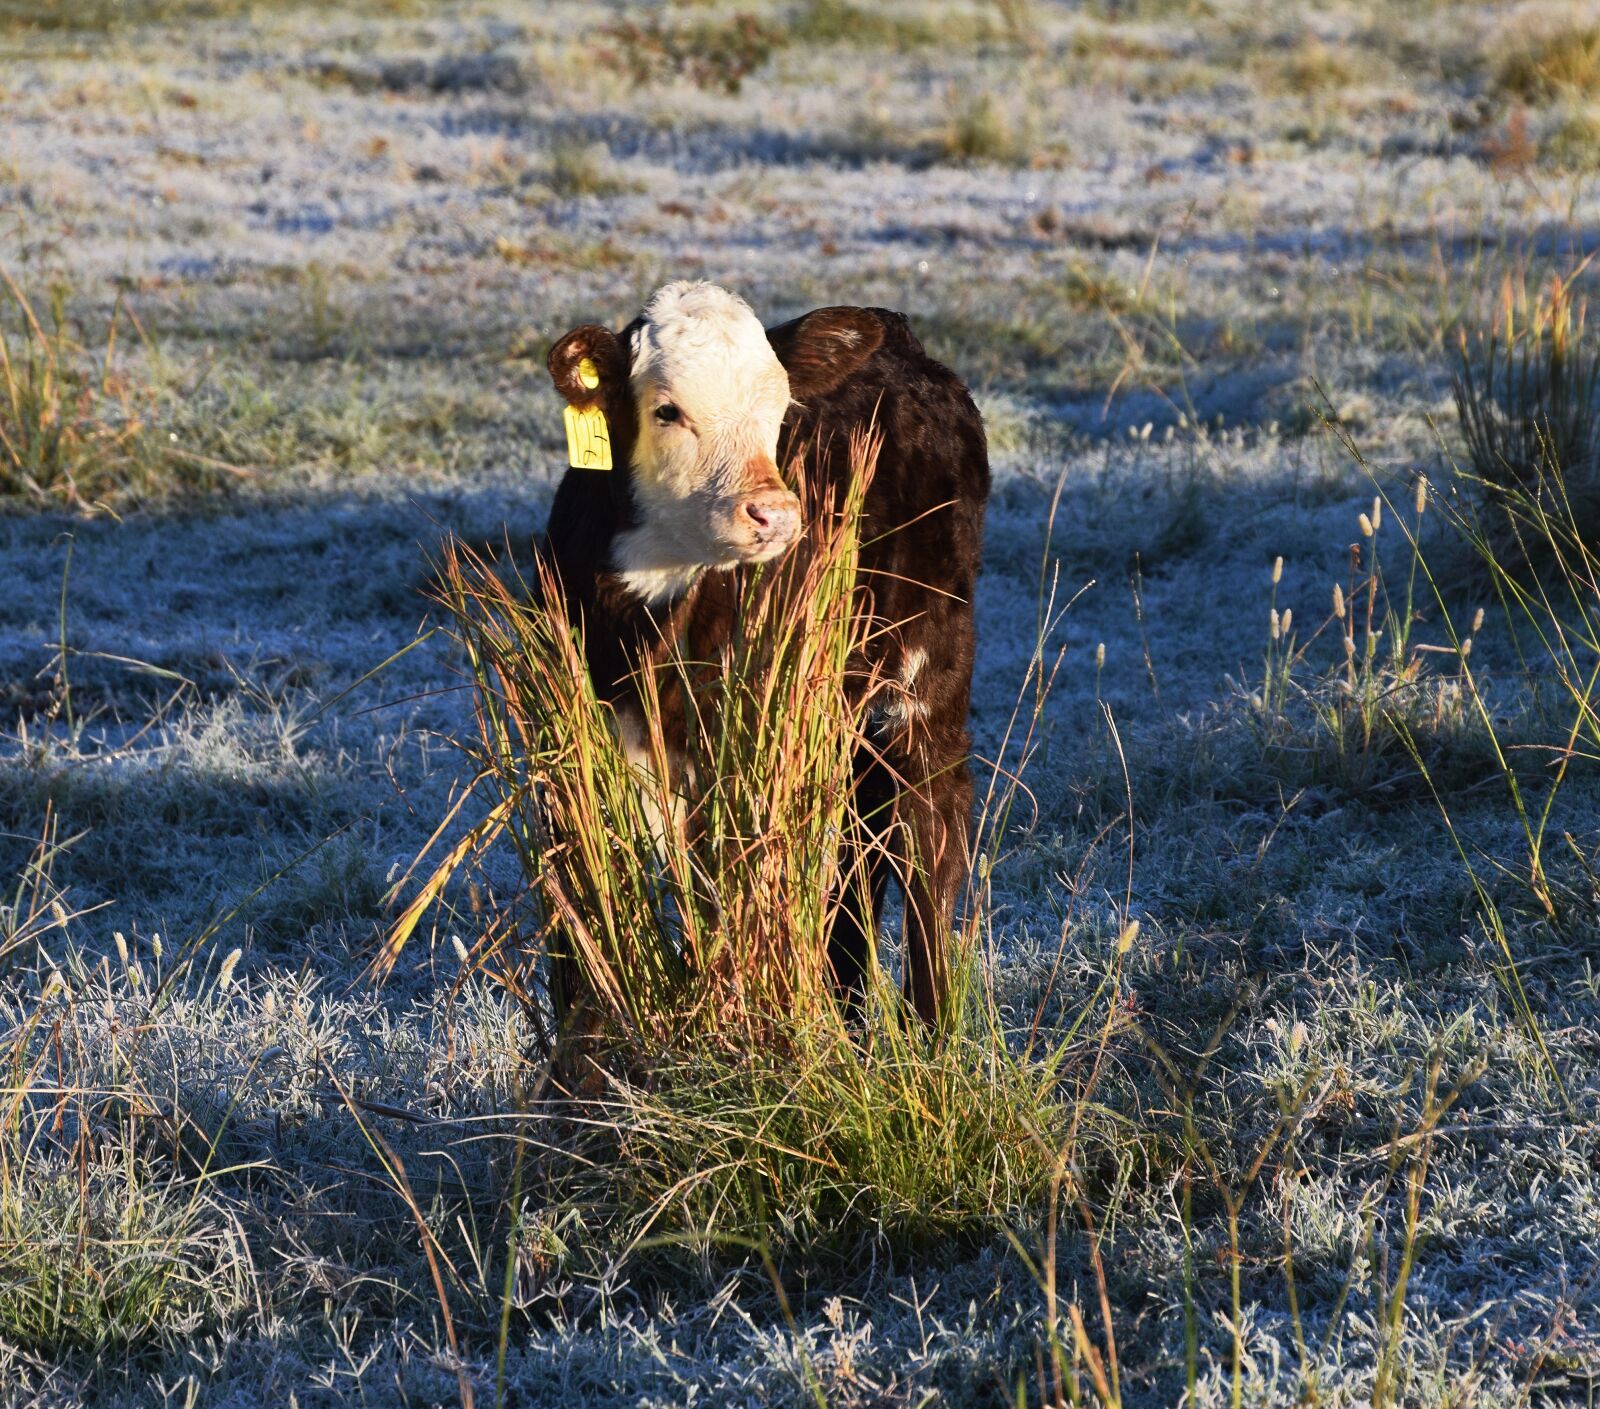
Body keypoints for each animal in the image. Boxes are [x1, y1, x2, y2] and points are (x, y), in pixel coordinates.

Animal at [541, 281, 989, 1025]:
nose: (773, 514)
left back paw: (929, 1034)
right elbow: (576, 906)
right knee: (858, 841)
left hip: (929, 680)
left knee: (930, 836)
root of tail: (899, 338)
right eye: (667, 410)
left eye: (779, 413)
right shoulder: (568, 741)